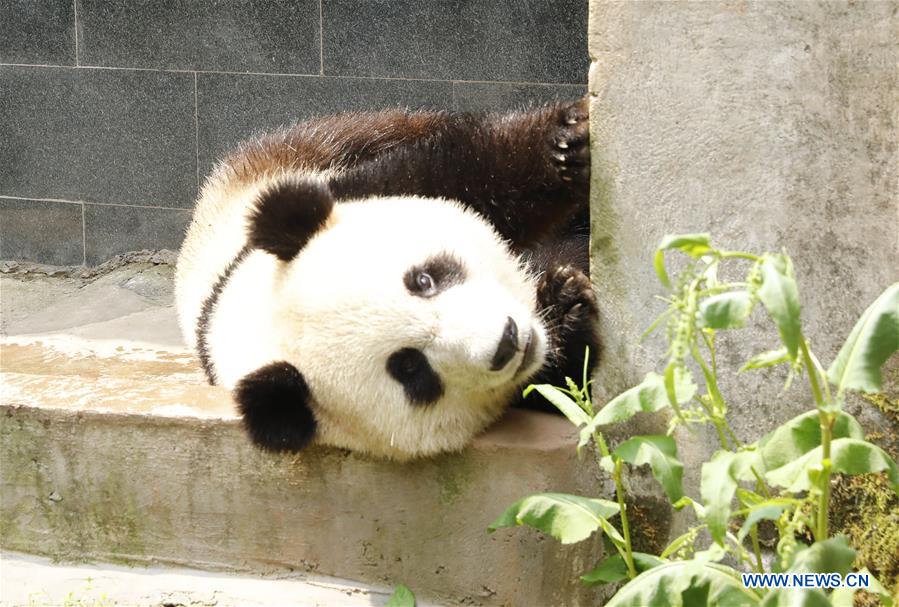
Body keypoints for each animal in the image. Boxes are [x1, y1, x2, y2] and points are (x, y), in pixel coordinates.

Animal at [175, 98, 599, 461]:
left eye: (423, 280)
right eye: (410, 368)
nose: (508, 341)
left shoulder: (358, 187)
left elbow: (472, 171)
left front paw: (570, 142)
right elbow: (559, 387)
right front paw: (566, 309)